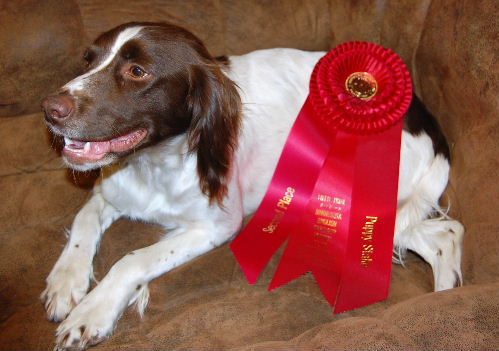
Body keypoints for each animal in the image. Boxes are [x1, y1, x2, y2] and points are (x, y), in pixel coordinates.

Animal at [40, 22, 464, 351]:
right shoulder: (111, 191)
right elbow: (83, 221)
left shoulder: (217, 226)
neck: (154, 163)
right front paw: (66, 282)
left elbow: (132, 259)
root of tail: (425, 119)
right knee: (446, 233)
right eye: (88, 60)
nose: (50, 109)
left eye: (138, 71)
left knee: (445, 230)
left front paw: (92, 311)